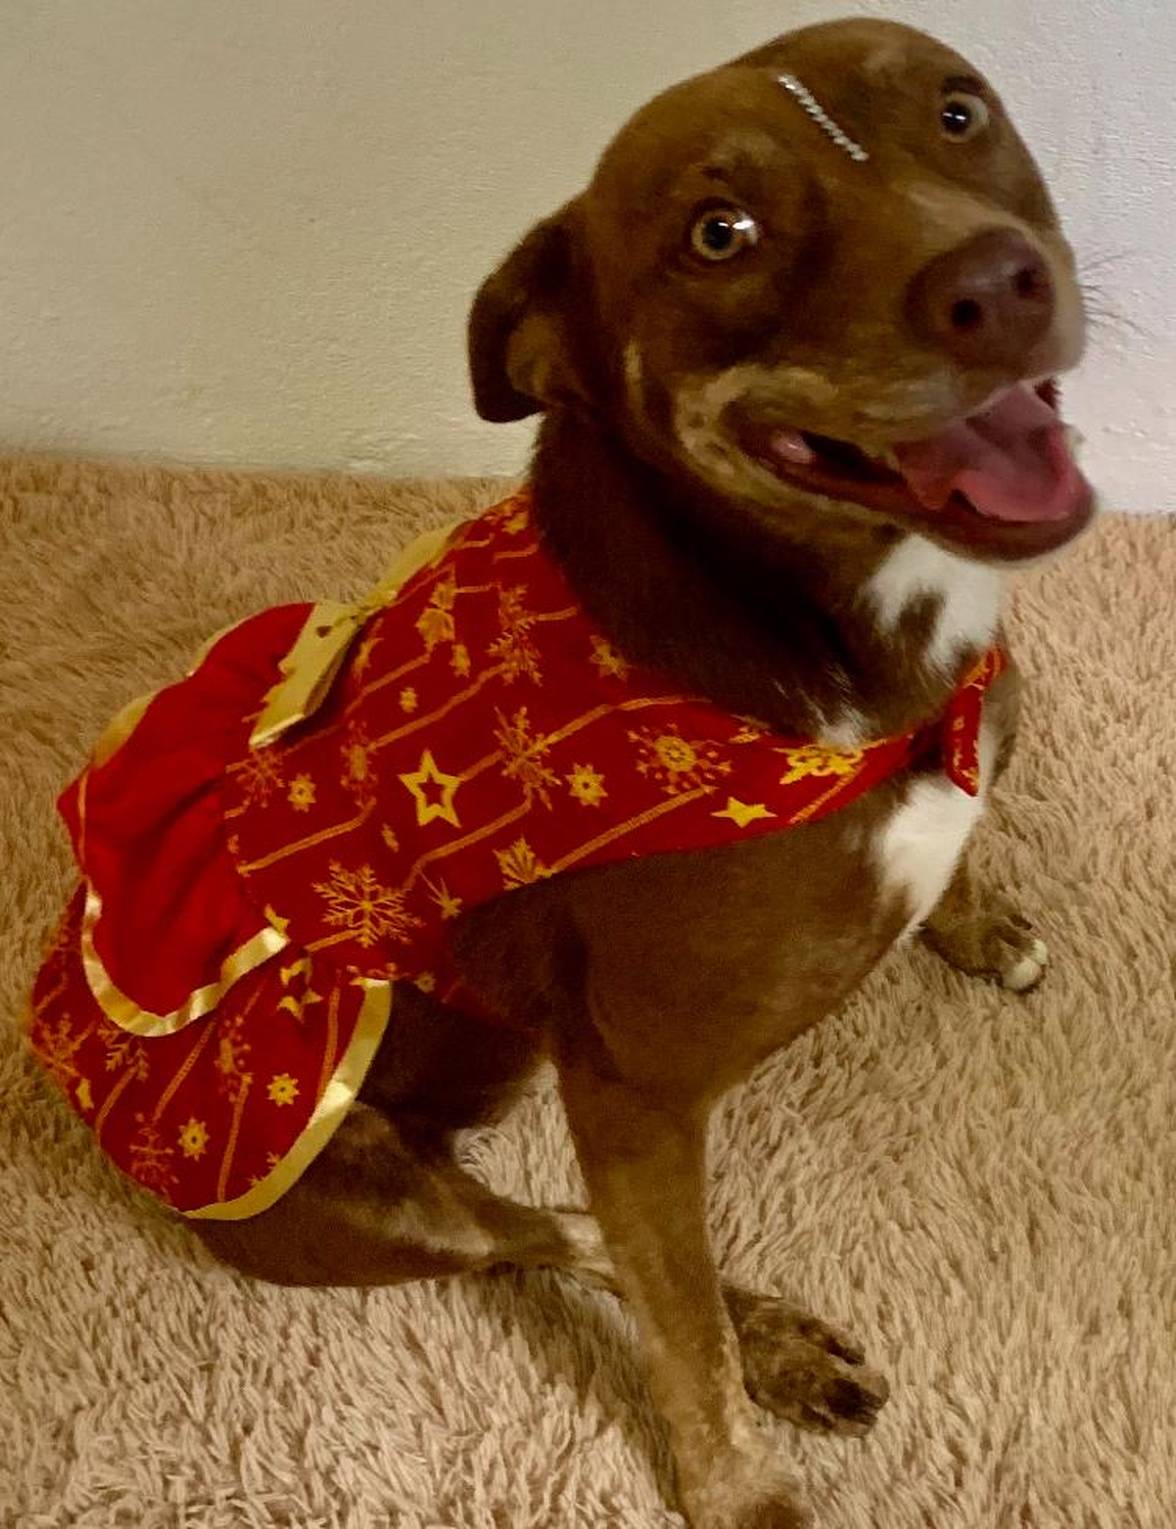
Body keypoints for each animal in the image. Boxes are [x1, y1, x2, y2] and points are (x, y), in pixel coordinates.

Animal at [29, 18, 1094, 1527]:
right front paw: (738, 1489)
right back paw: (770, 1339)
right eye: (720, 232)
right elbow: (677, 1321)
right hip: (337, 1187)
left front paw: (978, 916)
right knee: (564, 1234)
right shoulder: (635, 1093)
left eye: (960, 112)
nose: (998, 285)